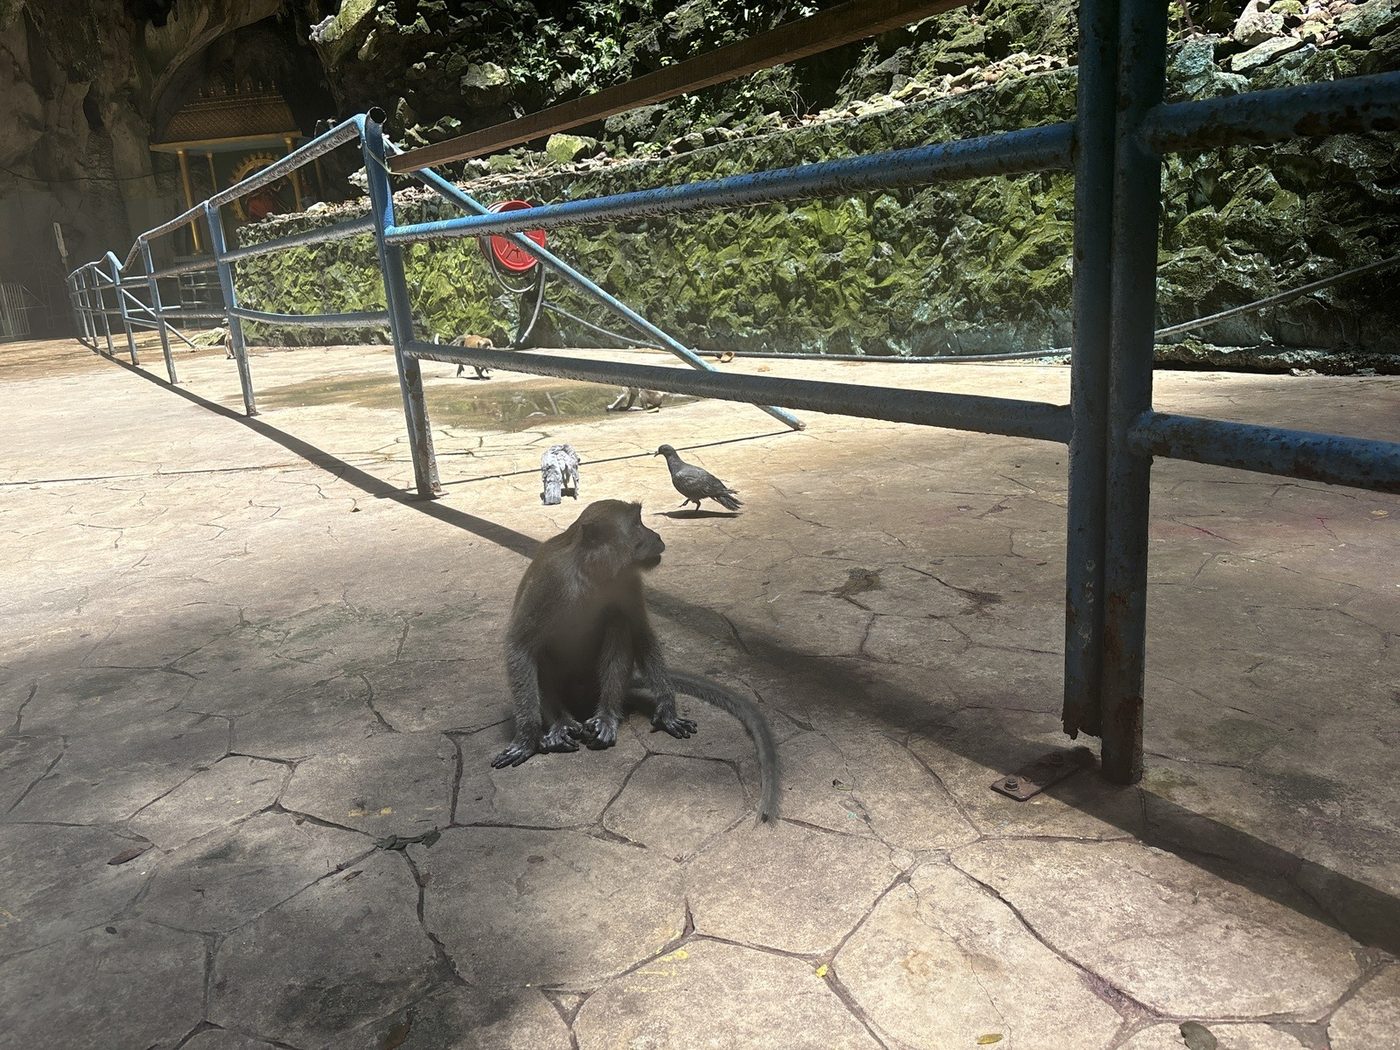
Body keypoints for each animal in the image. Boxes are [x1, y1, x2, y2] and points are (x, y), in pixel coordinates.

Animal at [493, 499, 779, 822]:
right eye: (637, 524)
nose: (655, 534)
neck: (592, 572)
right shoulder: (550, 578)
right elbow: (520, 647)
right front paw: (527, 738)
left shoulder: (626, 580)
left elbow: (641, 632)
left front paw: (667, 709)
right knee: (542, 650)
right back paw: (561, 722)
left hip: (593, 686)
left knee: (618, 622)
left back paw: (606, 715)